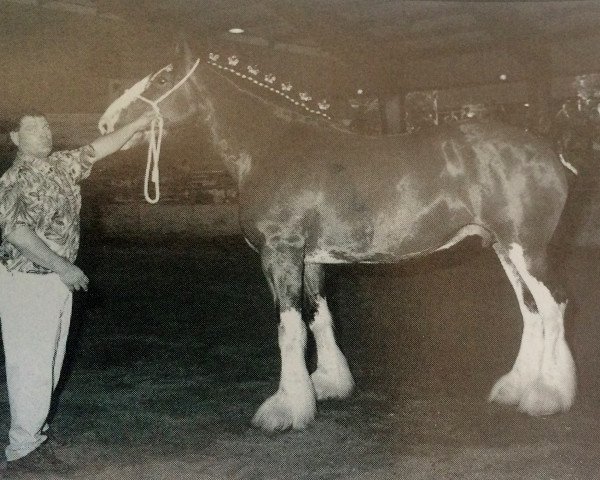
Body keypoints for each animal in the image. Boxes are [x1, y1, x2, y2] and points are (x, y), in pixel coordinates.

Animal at [98, 41, 576, 432]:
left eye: (161, 80)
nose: (105, 123)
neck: (274, 146)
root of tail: (552, 154)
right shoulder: (311, 259)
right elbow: (319, 319)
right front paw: (327, 385)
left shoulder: (281, 254)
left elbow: (289, 329)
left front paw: (285, 410)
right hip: (503, 249)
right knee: (531, 312)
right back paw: (516, 388)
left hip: (526, 250)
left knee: (552, 310)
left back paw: (548, 396)